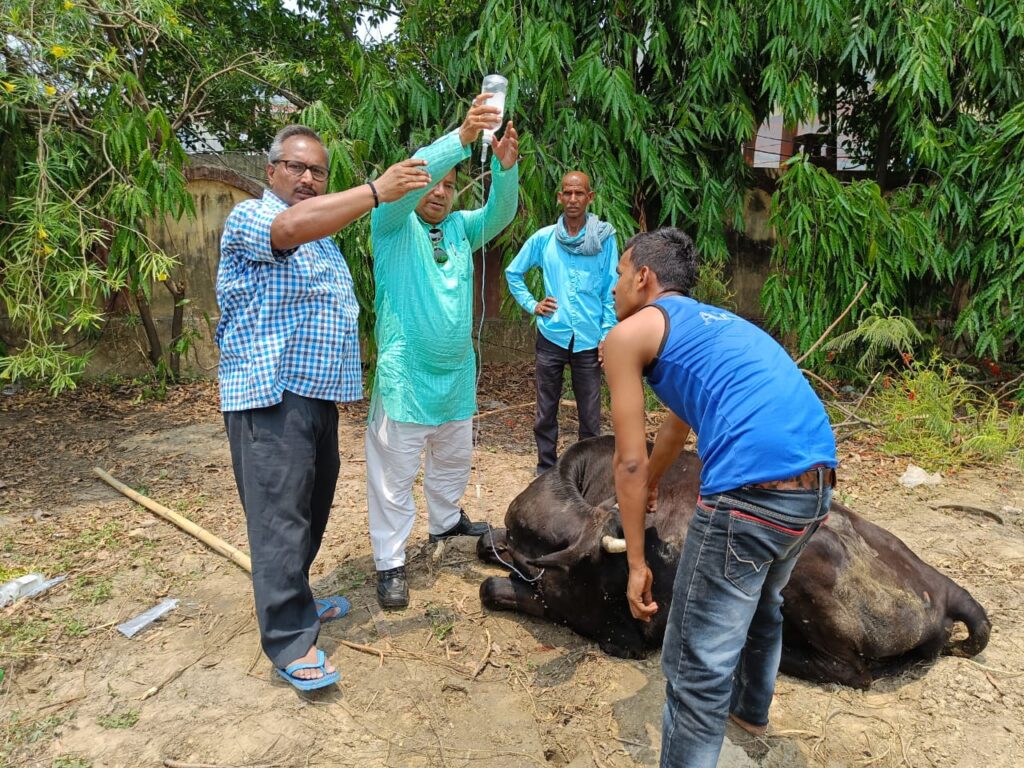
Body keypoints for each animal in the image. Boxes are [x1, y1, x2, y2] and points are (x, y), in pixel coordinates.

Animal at [479, 436, 991, 688]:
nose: (638, 635)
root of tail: (943, 593)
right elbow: (487, 546)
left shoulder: (570, 609)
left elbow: (492, 589)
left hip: (804, 570)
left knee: (851, 672)